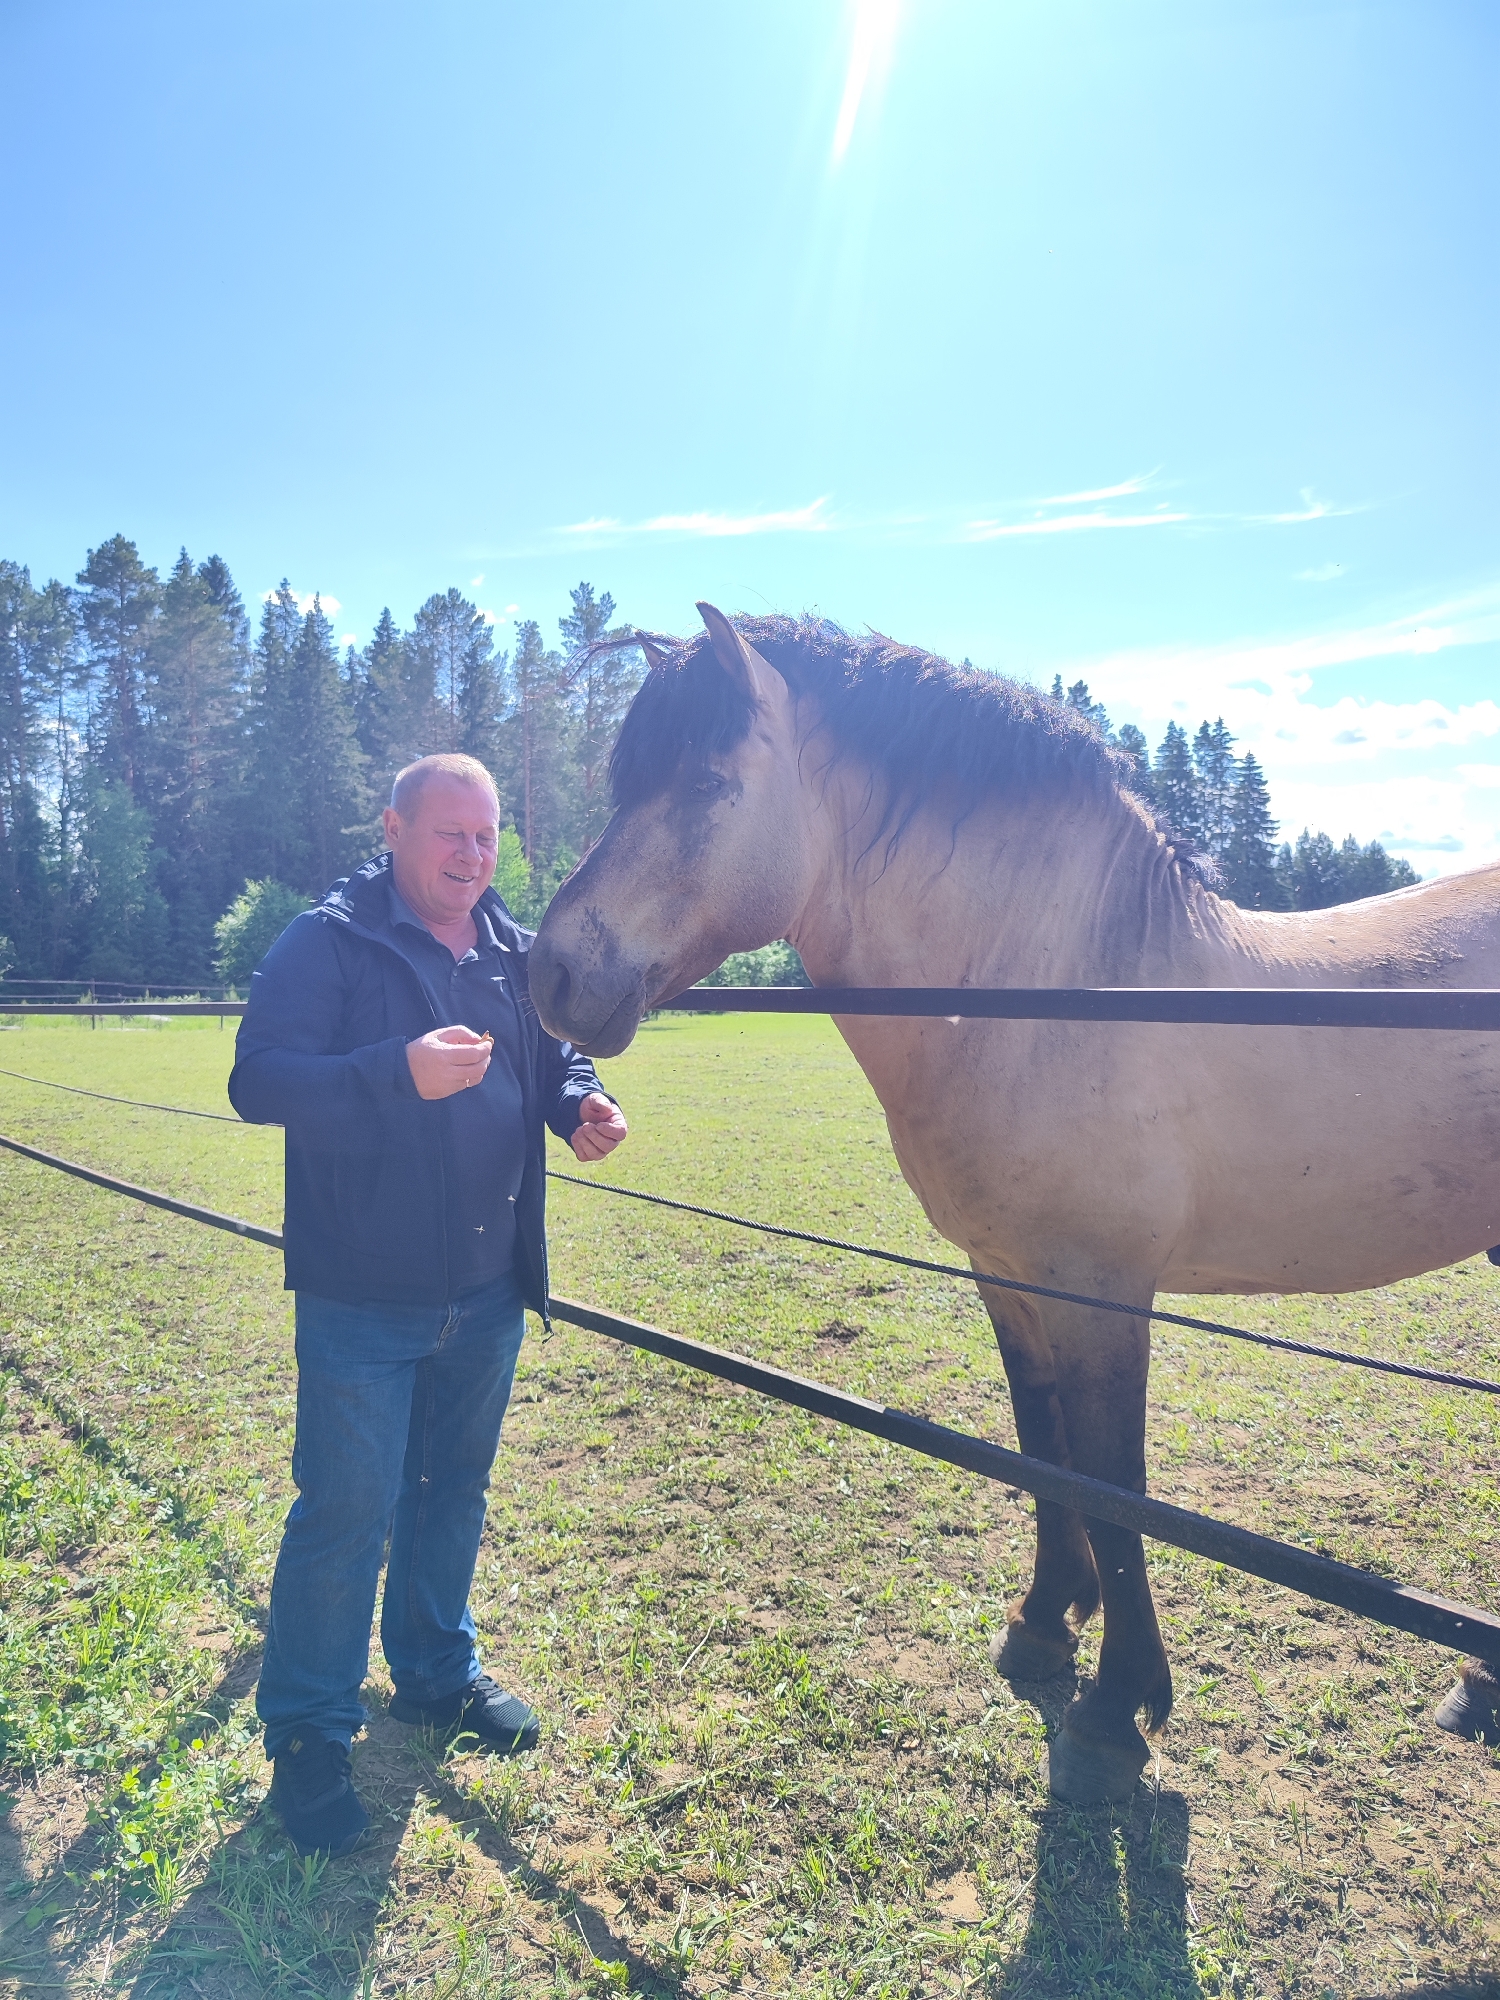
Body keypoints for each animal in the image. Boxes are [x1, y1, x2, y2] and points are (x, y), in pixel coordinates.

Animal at [528, 603, 1500, 1801]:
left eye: (708, 782)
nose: (550, 973)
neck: (1056, 992)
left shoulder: (1101, 1290)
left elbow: (1117, 1477)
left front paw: (1118, 1706)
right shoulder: (1007, 1273)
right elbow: (1044, 1444)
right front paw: (1045, 1624)